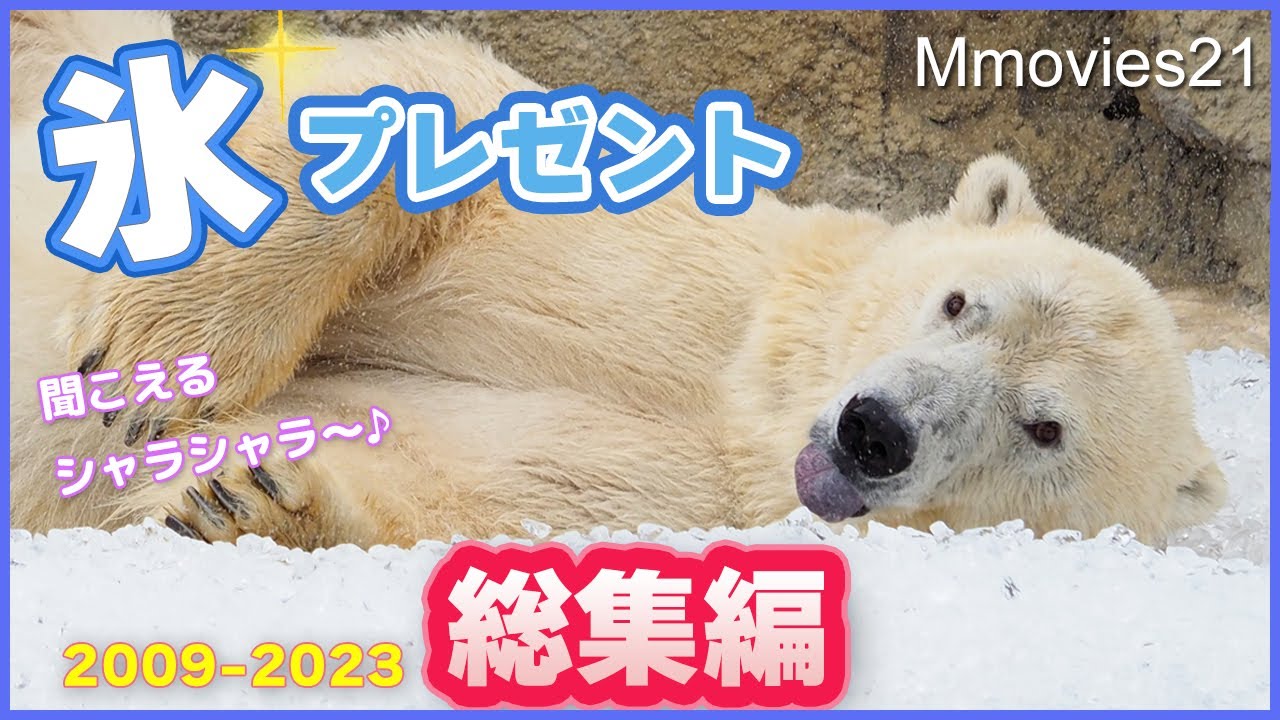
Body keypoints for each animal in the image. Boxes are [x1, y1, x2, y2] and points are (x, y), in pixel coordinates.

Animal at [9, 11, 1226, 550]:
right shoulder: (675, 236)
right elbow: (420, 111)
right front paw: (164, 357)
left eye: (1045, 430)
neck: (754, 390)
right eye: (960, 301)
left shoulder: (696, 491)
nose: (874, 430)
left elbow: (476, 480)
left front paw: (246, 495)